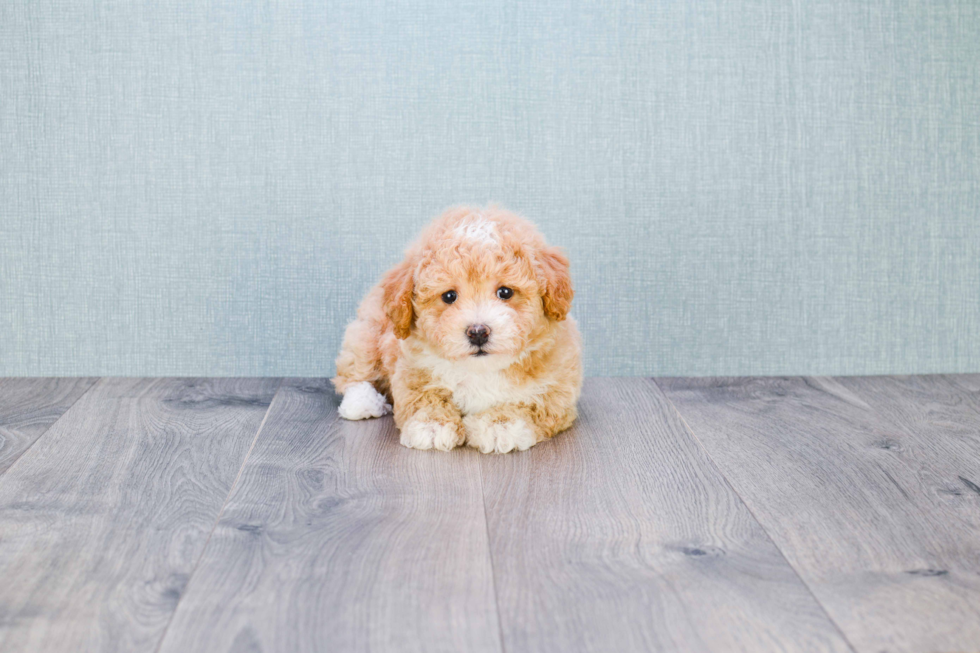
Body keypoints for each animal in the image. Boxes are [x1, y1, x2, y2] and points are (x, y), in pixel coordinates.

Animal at [334, 206, 584, 450]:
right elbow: (424, 397)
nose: (478, 332)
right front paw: (432, 425)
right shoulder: (411, 371)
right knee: (355, 372)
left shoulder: (557, 390)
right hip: (368, 333)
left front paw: (500, 425)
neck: (480, 370)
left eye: (505, 292)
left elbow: (530, 404)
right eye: (449, 296)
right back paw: (362, 402)